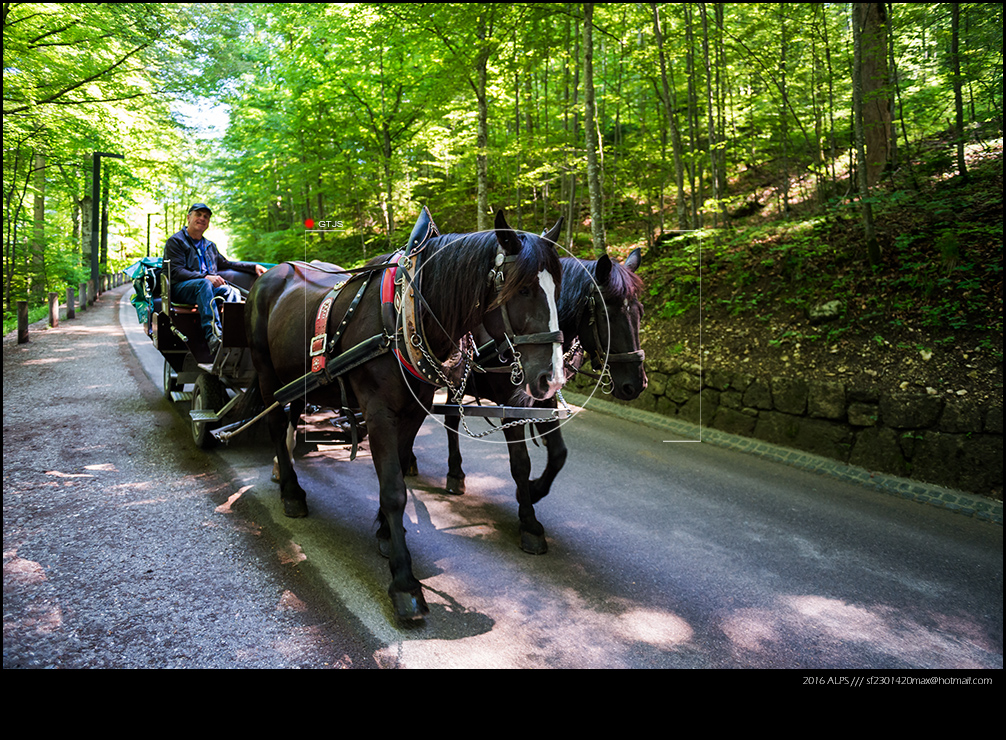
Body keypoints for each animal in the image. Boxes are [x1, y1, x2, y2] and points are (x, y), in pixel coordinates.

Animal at [245, 208, 567, 619]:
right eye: (523, 289)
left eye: (558, 290)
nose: (551, 378)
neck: (405, 312)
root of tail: (272, 272)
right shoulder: (379, 411)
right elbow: (395, 490)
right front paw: (404, 581)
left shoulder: (413, 411)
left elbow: (397, 468)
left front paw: (385, 533)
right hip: (266, 372)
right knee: (275, 421)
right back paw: (290, 491)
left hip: (304, 382)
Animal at [438, 248, 643, 555]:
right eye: (609, 315)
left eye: (639, 313)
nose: (636, 385)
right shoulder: (511, 407)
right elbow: (520, 463)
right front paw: (529, 522)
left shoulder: (545, 402)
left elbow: (558, 454)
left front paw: (535, 491)